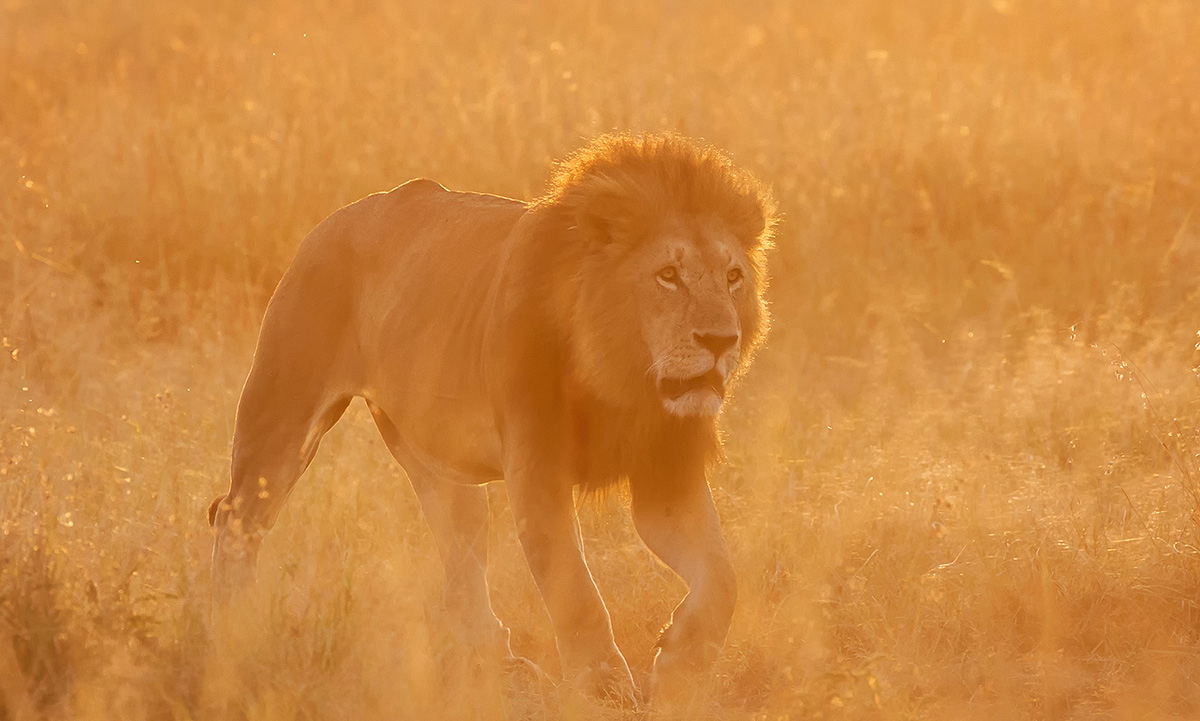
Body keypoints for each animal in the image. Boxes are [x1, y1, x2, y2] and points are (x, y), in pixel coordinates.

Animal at [208, 133, 777, 705]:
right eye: (668, 276)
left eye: (733, 277)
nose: (720, 341)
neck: (620, 379)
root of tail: (330, 223)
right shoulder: (537, 472)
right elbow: (576, 591)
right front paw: (604, 688)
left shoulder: (666, 477)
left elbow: (723, 580)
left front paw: (681, 665)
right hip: (282, 420)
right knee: (236, 519)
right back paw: (232, 632)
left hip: (440, 464)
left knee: (459, 560)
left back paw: (495, 662)